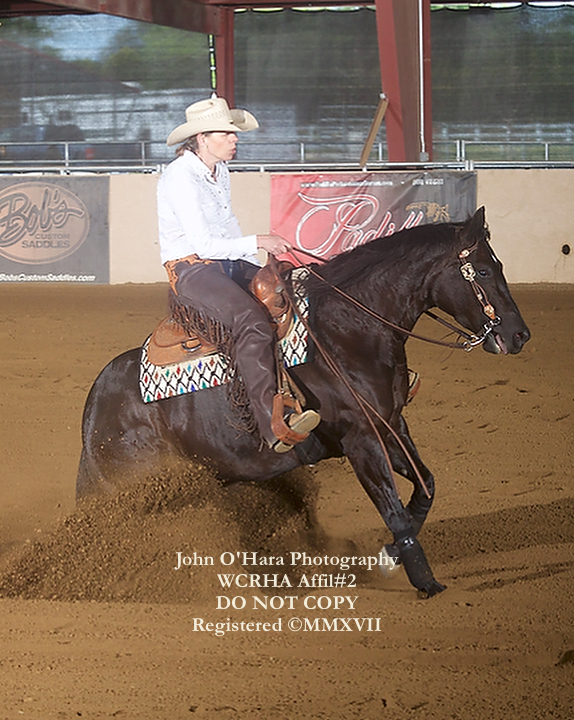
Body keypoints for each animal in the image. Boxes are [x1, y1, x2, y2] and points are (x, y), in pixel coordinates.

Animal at [76, 207, 530, 598]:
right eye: (483, 270)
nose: (519, 335)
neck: (348, 329)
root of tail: (95, 406)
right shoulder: (362, 440)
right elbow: (394, 510)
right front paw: (425, 581)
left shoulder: (391, 425)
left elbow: (426, 488)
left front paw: (389, 557)